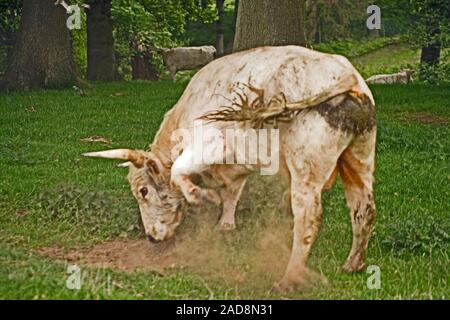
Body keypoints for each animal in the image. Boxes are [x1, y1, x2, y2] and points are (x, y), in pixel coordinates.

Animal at [84, 45, 376, 292]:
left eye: (143, 191)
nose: (151, 238)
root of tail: (345, 74)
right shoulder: (237, 164)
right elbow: (232, 194)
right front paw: (225, 224)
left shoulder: (210, 144)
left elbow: (179, 172)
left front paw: (203, 196)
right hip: (359, 159)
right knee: (364, 208)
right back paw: (353, 264)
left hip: (306, 171)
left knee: (308, 220)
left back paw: (289, 280)